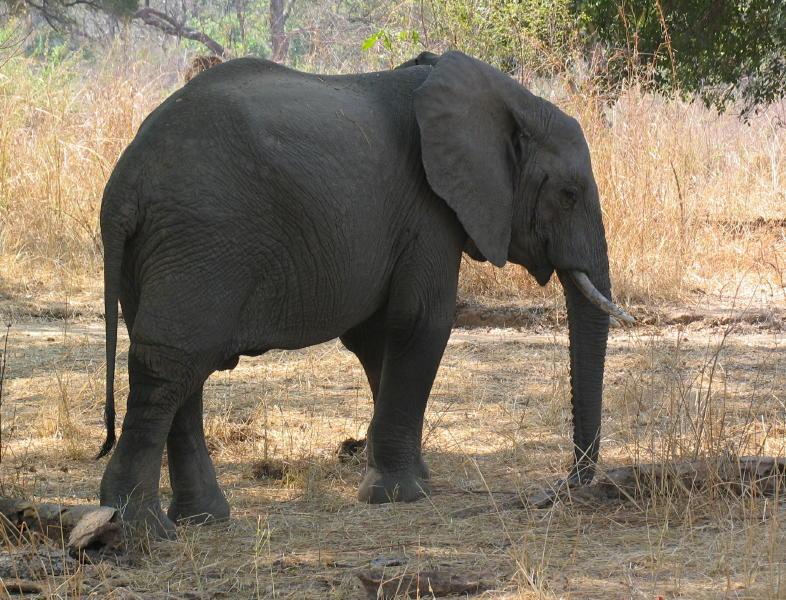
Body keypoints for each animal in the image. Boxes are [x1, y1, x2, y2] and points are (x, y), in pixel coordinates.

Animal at [95, 48, 632, 536]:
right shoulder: (429, 208)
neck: (506, 98)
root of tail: (126, 182)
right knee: (169, 363)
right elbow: (422, 322)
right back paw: (138, 529)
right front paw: (398, 495)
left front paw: (412, 478)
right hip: (204, 238)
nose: (561, 487)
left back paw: (203, 519)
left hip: (167, 250)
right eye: (569, 194)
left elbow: (378, 342)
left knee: (182, 367)